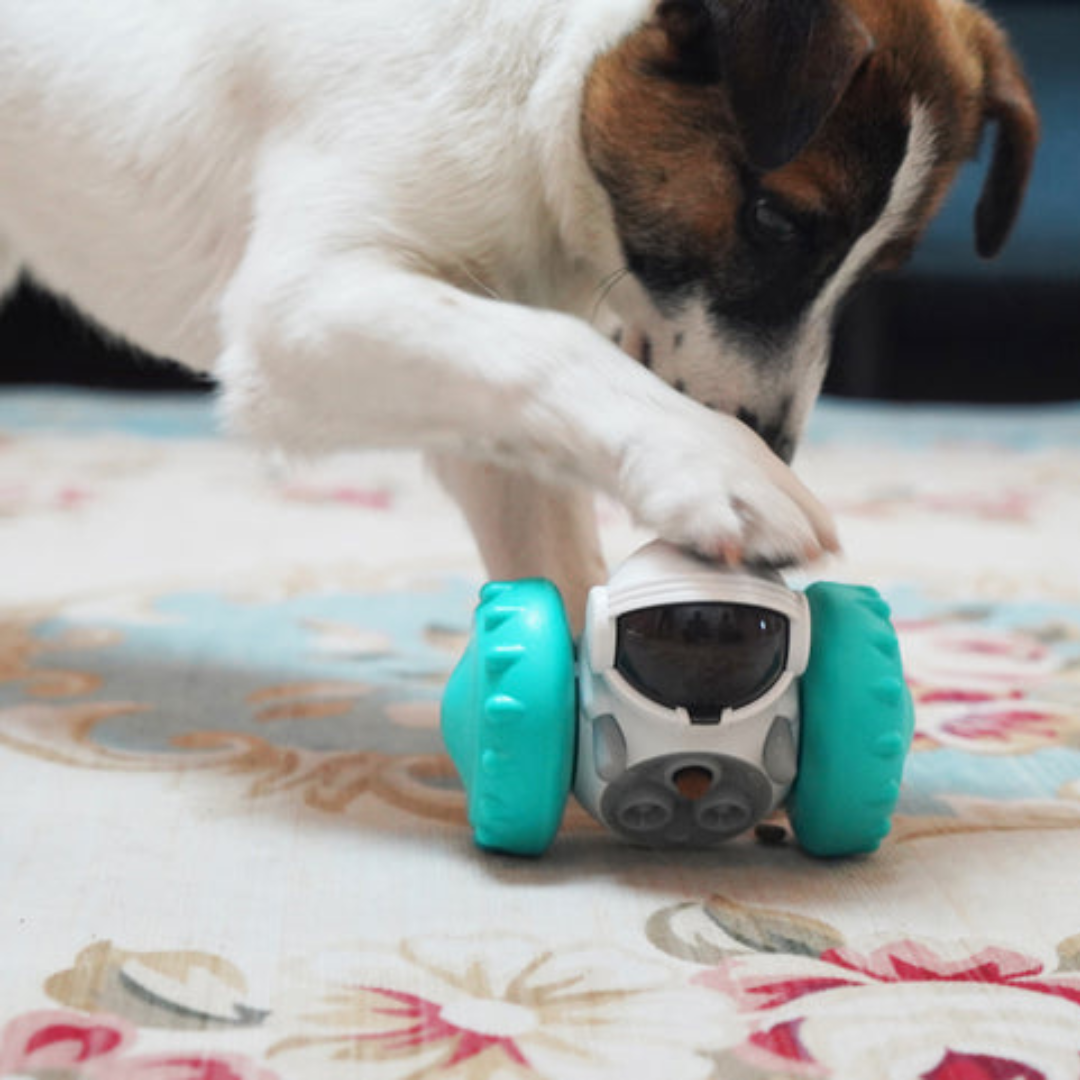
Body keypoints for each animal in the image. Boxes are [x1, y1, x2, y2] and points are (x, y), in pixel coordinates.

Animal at [0, 0, 1032, 626]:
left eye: (880, 268)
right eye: (774, 220)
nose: (776, 444)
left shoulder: (478, 402)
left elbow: (557, 547)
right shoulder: (295, 311)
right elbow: (556, 350)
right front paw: (716, 463)